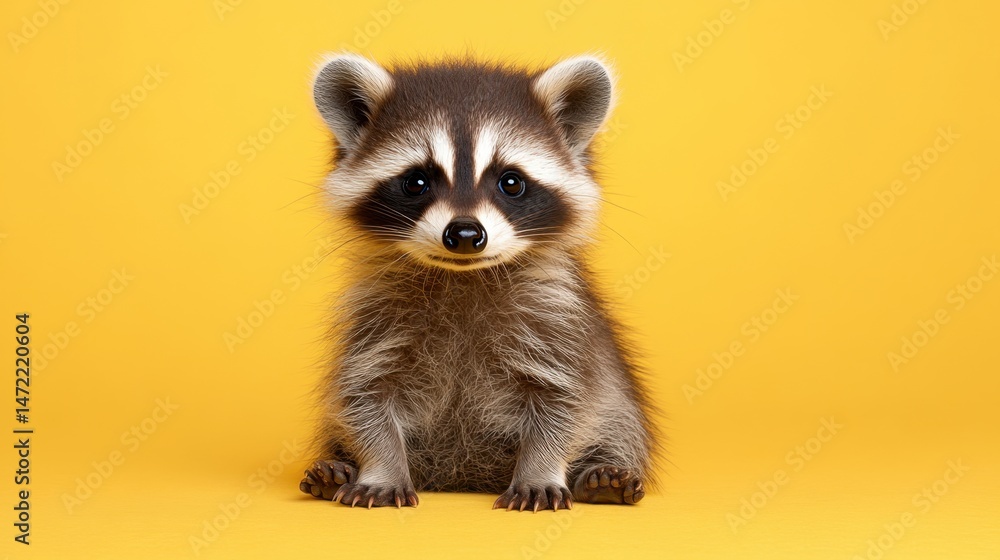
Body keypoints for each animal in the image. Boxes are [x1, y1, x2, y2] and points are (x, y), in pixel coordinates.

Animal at [298, 53, 657, 511]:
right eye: (416, 181)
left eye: (511, 182)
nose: (466, 234)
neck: (463, 275)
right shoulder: (373, 324)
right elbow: (364, 397)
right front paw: (380, 468)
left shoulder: (559, 323)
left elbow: (565, 402)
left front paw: (540, 470)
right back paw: (336, 467)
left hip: (621, 406)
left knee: (619, 426)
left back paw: (601, 474)